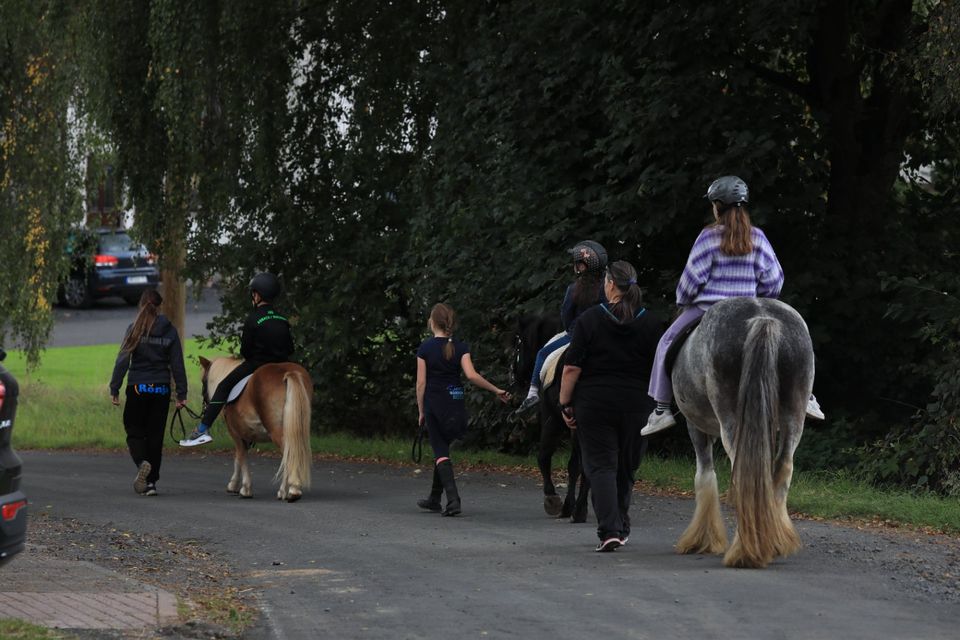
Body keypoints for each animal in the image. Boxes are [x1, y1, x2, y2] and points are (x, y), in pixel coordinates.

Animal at [200, 358, 316, 502]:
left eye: (203, 381)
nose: (205, 405)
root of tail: (288, 373)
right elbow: (238, 458)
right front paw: (234, 485)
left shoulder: (235, 433)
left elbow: (241, 457)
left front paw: (245, 488)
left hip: (278, 433)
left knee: (288, 455)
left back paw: (289, 490)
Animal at [512, 314, 588, 520]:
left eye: (518, 345)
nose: (513, 376)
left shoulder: (552, 419)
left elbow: (544, 457)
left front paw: (552, 499)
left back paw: (577, 509)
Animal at [672, 298, 812, 568]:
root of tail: (762, 317)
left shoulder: (695, 426)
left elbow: (704, 475)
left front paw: (702, 540)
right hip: (794, 412)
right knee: (783, 467)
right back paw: (774, 544)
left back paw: (745, 550)